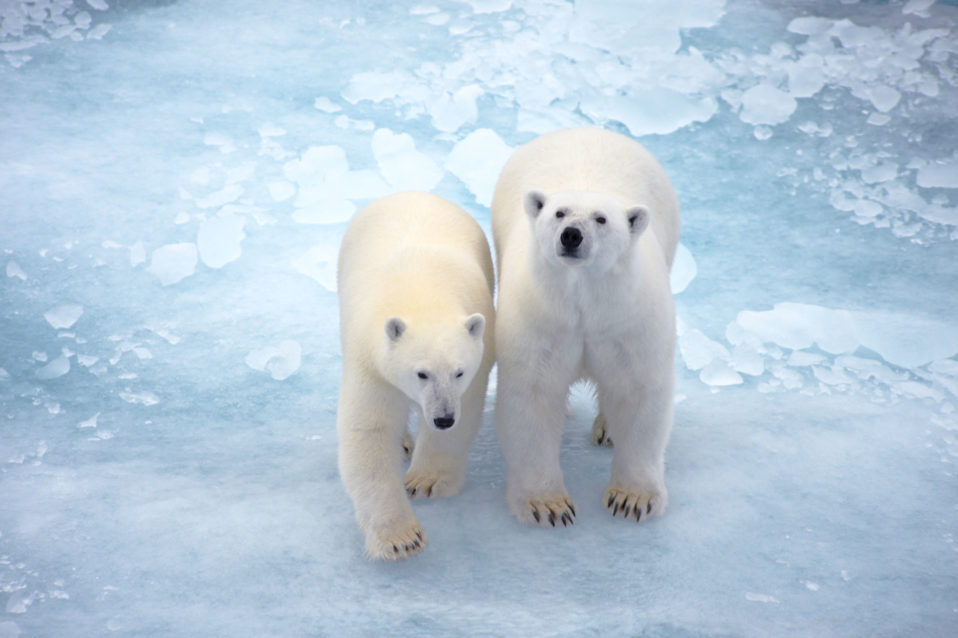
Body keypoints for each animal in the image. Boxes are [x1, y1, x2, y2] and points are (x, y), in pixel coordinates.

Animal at [336, 191, 496, 560]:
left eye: (459, 372)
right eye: (421, 373)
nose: (443, 418)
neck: (423, 296)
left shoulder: (479, 357)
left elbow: (466, 415)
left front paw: (426, 481)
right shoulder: (372, 361)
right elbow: (371, 430)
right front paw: (401, 538)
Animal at [496, 126, 684, 528]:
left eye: (601, 219)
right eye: (559, 212)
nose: (571, 234)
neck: (584, 302)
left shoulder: (626, 320)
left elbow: (638, 391)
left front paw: (633, 499)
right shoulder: (543, 319)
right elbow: (533, 395)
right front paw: (547, 505)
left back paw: (607, 428)